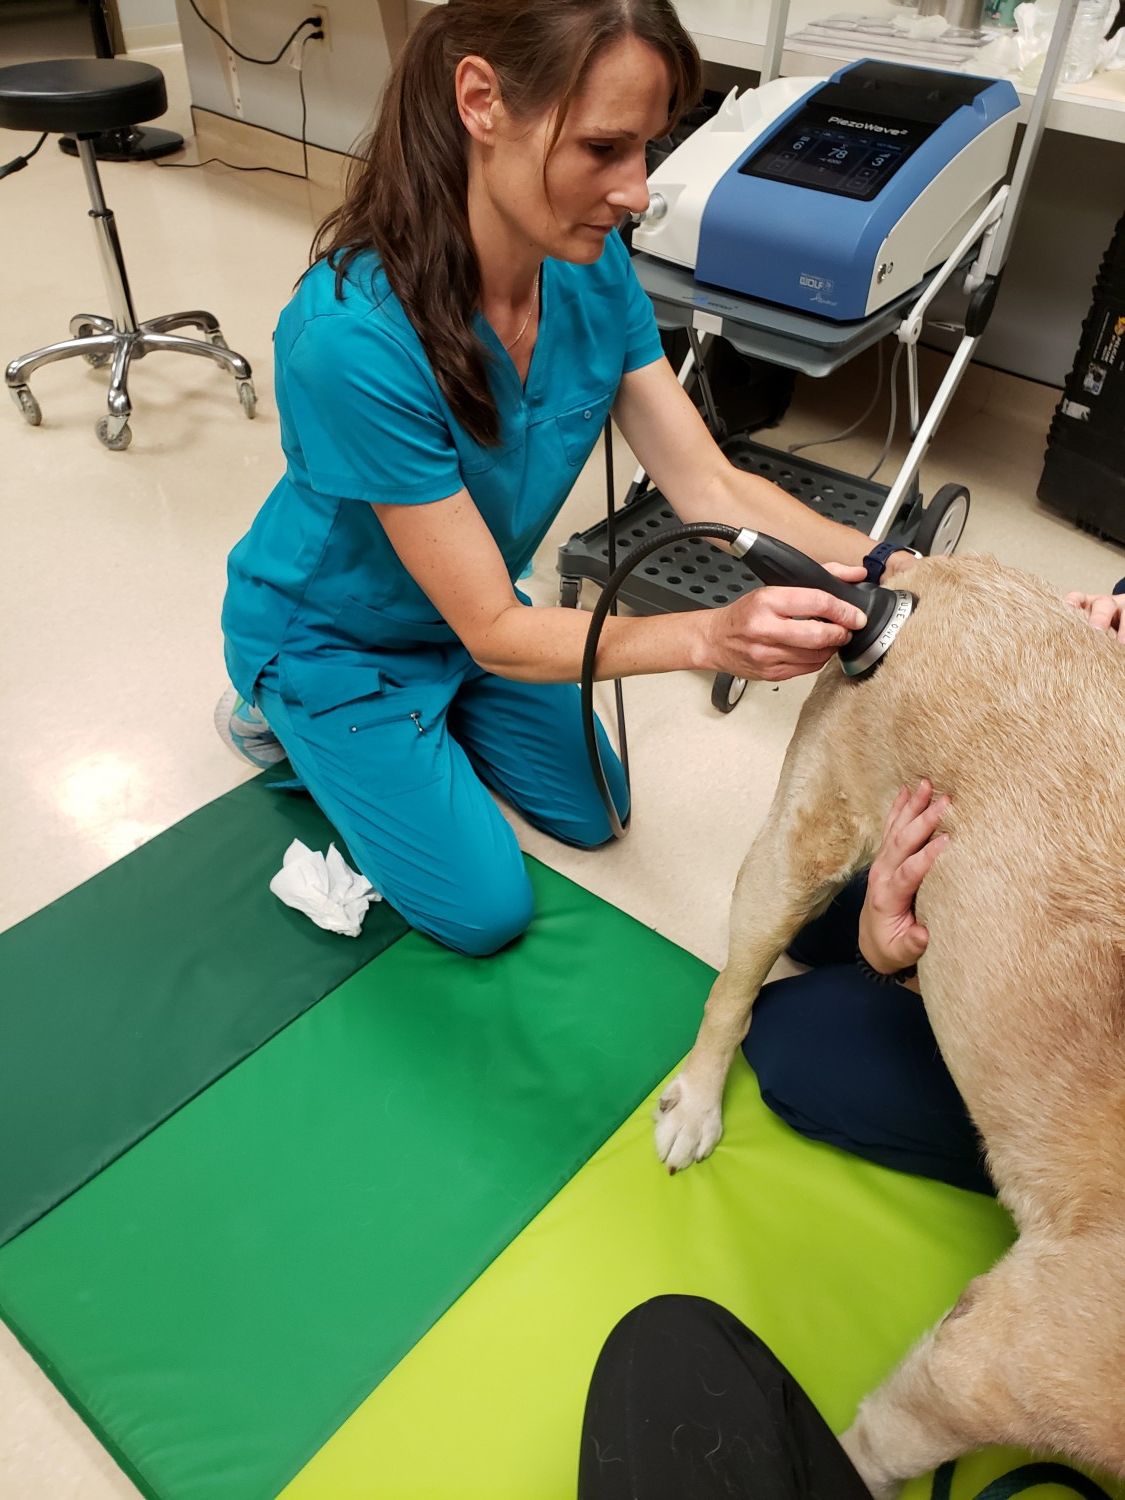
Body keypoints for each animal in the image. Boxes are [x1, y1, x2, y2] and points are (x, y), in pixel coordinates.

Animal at [651, 558, 1125, 1494]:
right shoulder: (995, 1364)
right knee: (733, 994)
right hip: (800, 851)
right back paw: (695, 1103)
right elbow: (878, 1447)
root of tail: (922, 572)